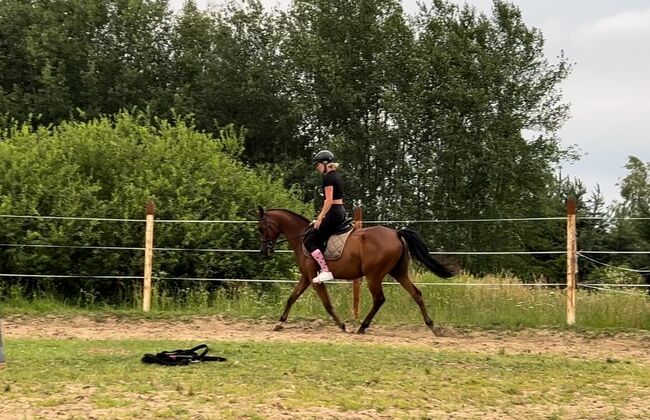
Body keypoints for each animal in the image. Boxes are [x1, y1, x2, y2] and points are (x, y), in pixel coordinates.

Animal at [256, 206, 454, 334]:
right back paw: (432, 327)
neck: (302, 238)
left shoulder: (313, 278)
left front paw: (343, 326)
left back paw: (362, 326)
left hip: (374, 275)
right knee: (416, 294)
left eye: (262, 228)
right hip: (398, 272)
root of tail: (396, 233)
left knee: (379, 299)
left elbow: (327, 304)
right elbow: (292, 297)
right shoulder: (306, 277)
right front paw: (280, 323)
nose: (264, 251)